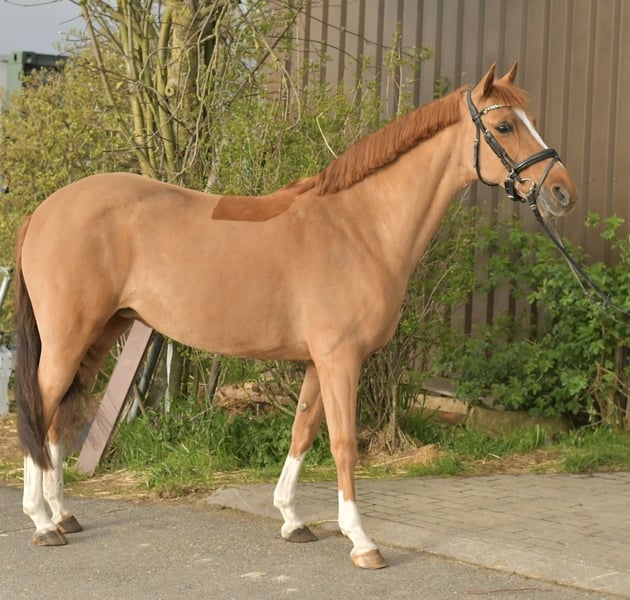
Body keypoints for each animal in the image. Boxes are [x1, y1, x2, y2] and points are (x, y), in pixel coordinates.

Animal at [14, 63, 576, 569]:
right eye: (504, 127)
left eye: (530, 120)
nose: (561, 192)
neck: (360, 228)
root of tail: (43, 211)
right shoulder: (341, 360)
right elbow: (345, 444)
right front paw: (362, 542)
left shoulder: (315, 362)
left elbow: (302, 431)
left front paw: (291, 519)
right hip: (68, 337)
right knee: (40, 406)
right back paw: (41, 522)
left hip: (101, 333)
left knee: (61, 415)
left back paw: (63, 514)